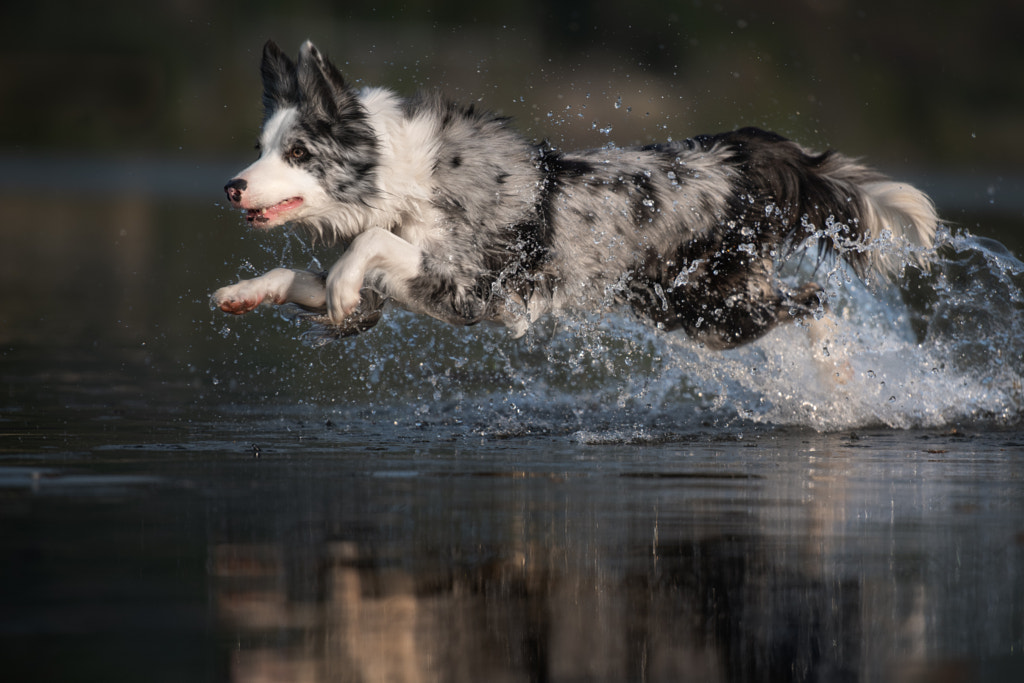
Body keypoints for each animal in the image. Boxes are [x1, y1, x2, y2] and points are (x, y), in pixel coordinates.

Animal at [209, 38, 937, 348]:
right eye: (261, 146)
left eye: (298, 153)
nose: (231, 187)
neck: (407, 182)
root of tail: (745, 150)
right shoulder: (397, 294)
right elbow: (311, 274)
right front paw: (246, 292)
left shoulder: (477, 286)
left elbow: (366, 247)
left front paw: (337, 285)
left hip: (709, 306)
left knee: (815, 304)